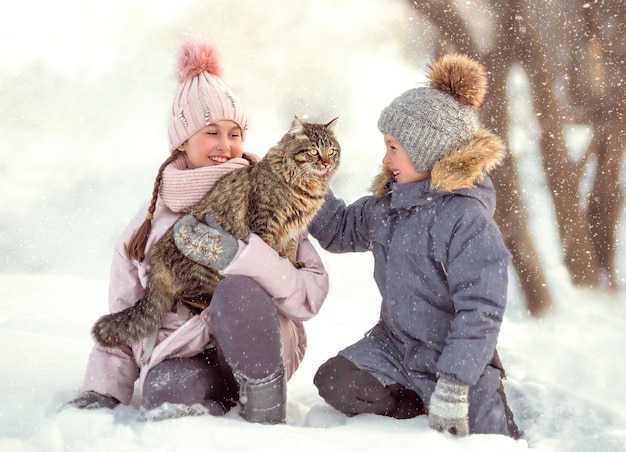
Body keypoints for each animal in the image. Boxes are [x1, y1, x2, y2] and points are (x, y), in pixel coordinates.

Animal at [90, 116, 338, 346]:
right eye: (314, 151)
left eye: (332, 151)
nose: (326, 163)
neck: (306, 186)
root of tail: (156, 262)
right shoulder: (266, 221)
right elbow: (272, 253)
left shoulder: (295, 228)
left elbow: (289, 252)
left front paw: (293, 265)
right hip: (203, 268)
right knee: (190, 295)